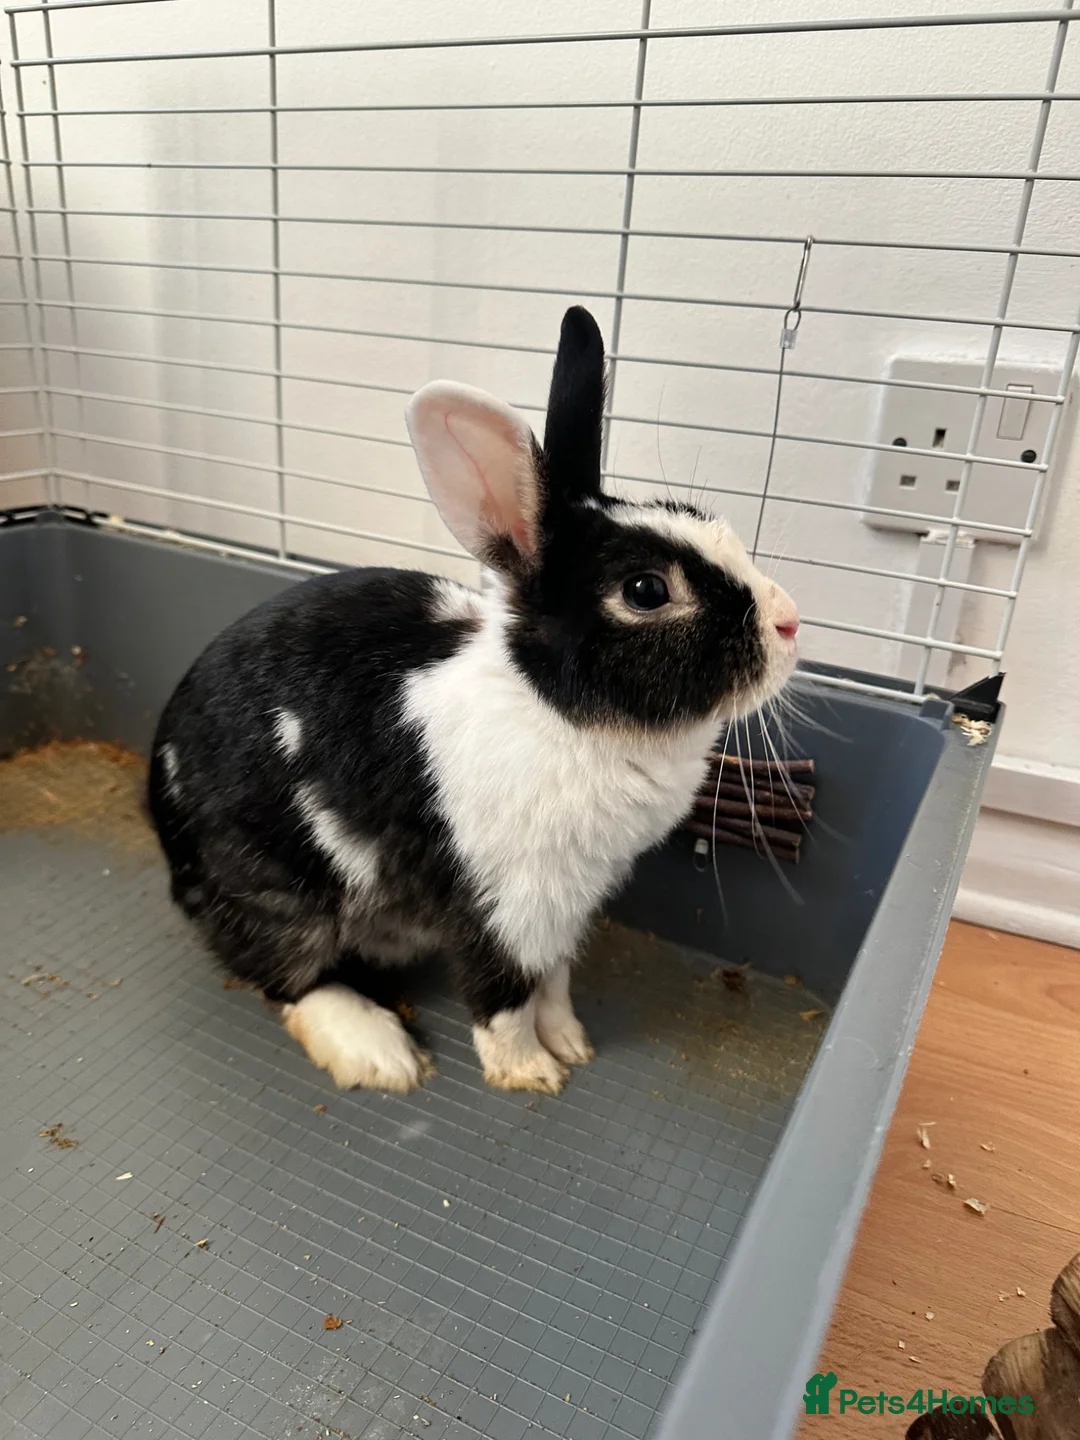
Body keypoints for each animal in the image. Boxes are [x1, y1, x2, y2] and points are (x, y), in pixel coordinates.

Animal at [147, 305, 799, 1097]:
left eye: (700, 515)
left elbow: (554, 983)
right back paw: (380, 1053)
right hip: (277, 894)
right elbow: (505, 998)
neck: (558, 710)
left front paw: (572, 1043)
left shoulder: (564, 910)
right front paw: (530, 1074)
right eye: (647, 591)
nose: (791, 621)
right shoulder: (502, 906)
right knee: (289, 978)